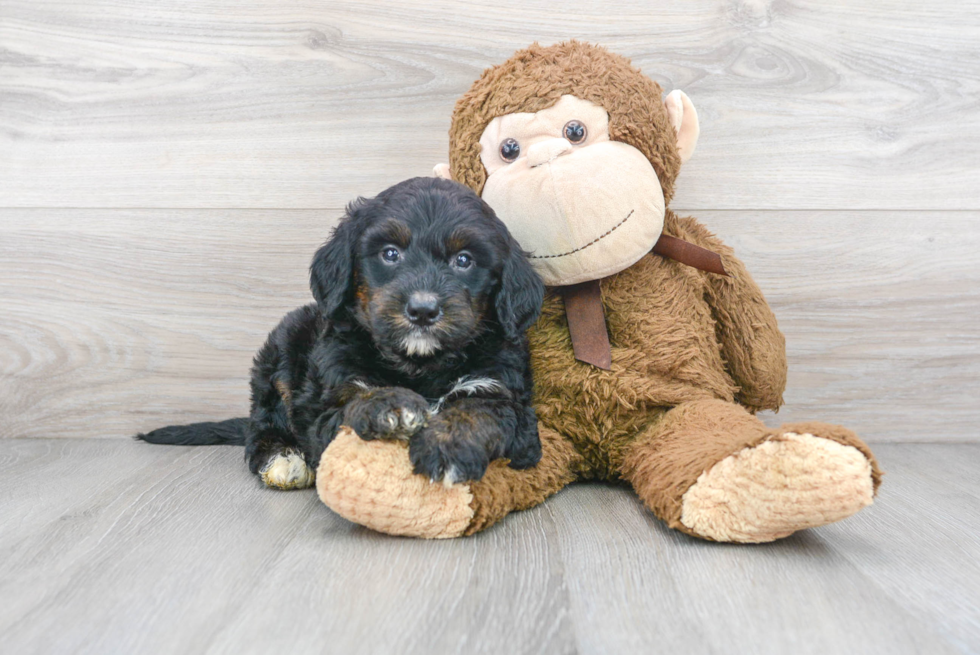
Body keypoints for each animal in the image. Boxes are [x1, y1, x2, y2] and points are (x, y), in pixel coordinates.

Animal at [140, 177, 544, 490]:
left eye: (464, 261)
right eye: (390, 254)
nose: (423, 309)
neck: (420, 364)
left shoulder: (503, 394)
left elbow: (477, 412)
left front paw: (447, 448)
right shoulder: (329, 392)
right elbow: (353, 399)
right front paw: (389, 404)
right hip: (280, 352)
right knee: (261, 429)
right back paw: (283, 459)